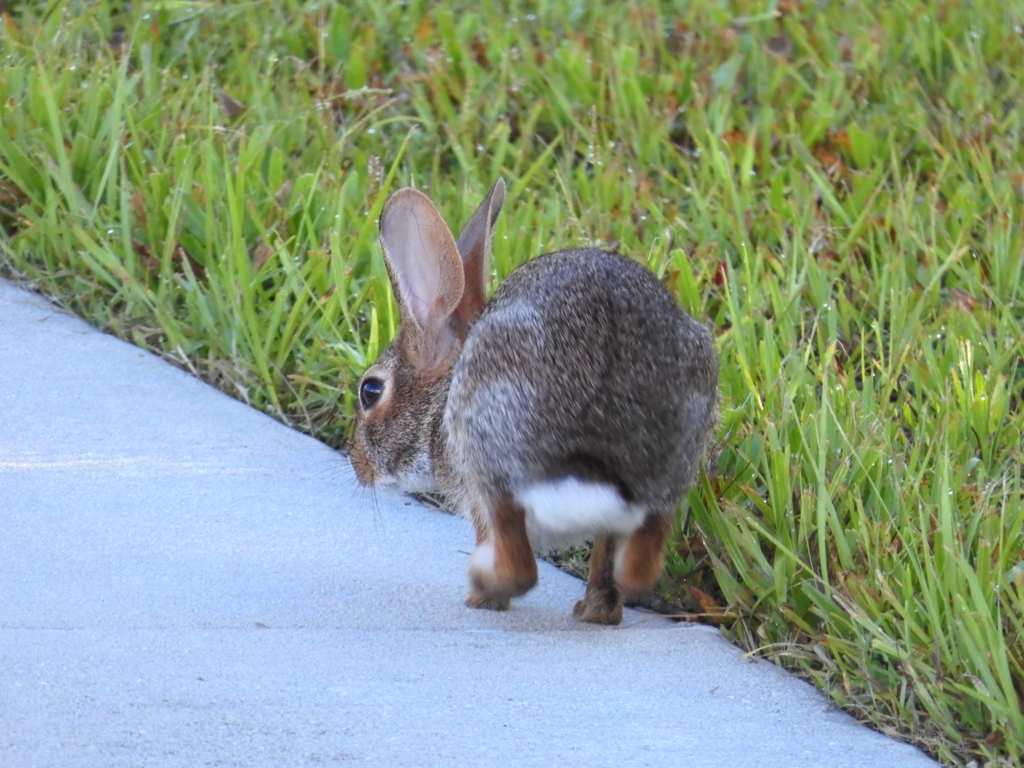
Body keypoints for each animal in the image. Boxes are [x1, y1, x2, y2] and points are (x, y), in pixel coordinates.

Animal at [352, 180, 720, 626]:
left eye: (370, 391)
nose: (357, 465)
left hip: (490, 454)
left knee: (520, 564)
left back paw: (482, 586)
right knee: (633, 563)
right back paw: (596, 610)